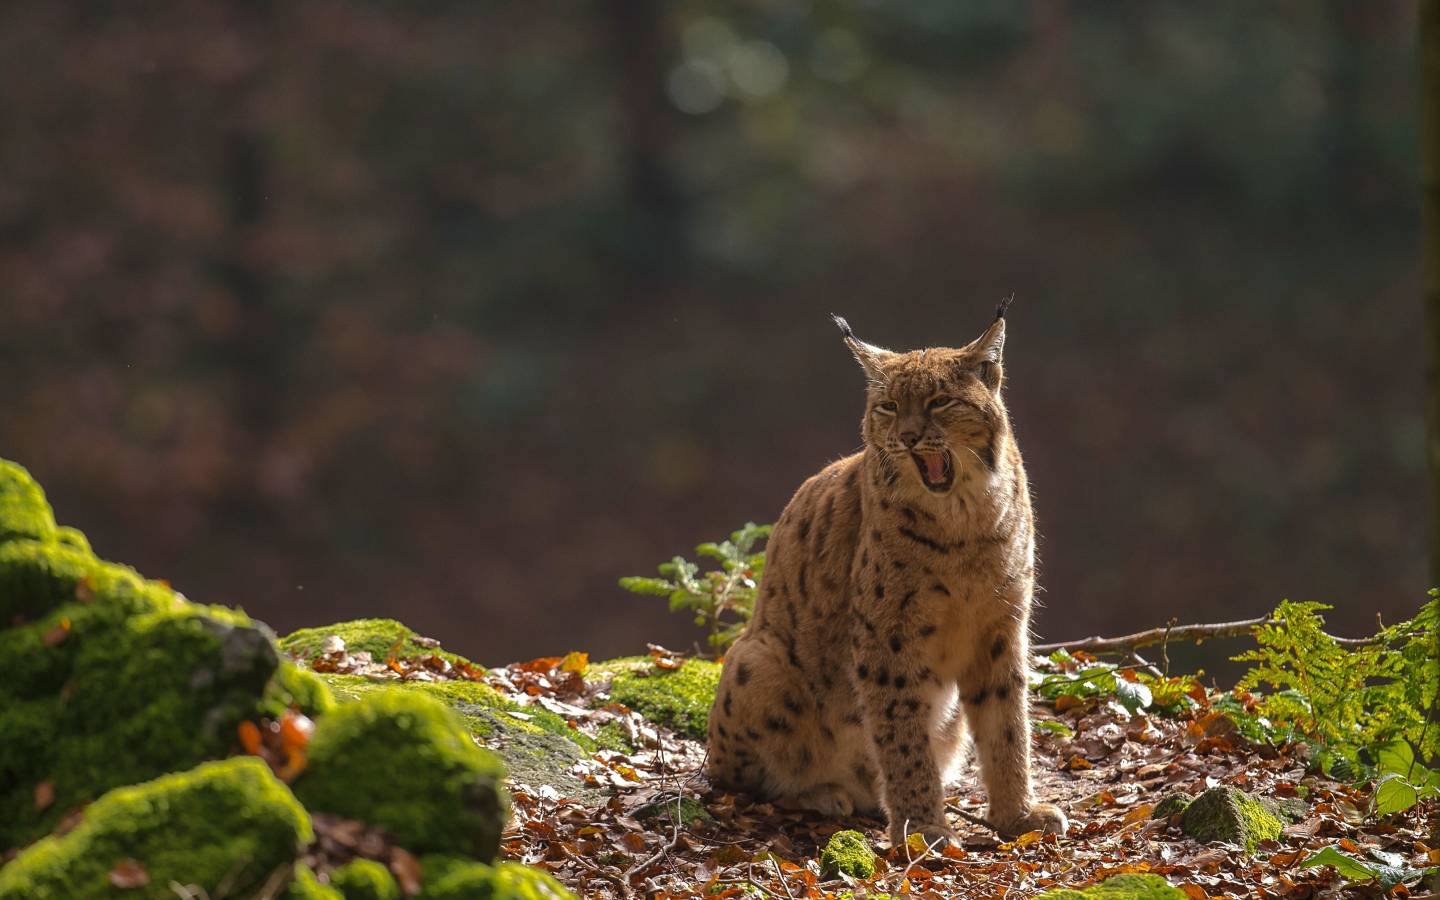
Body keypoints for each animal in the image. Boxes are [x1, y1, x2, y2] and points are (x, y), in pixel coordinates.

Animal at [702, 302, 1065, 840]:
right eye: (889, 407)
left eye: (940, 401)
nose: (908, 438)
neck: (965, 514)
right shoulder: (886, 635)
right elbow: (902, 731)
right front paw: (923, 829)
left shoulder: (1002, 623)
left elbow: (1007, 721)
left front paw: (1016, 816)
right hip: (756, 658)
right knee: (733, 779)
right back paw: (826, 792)